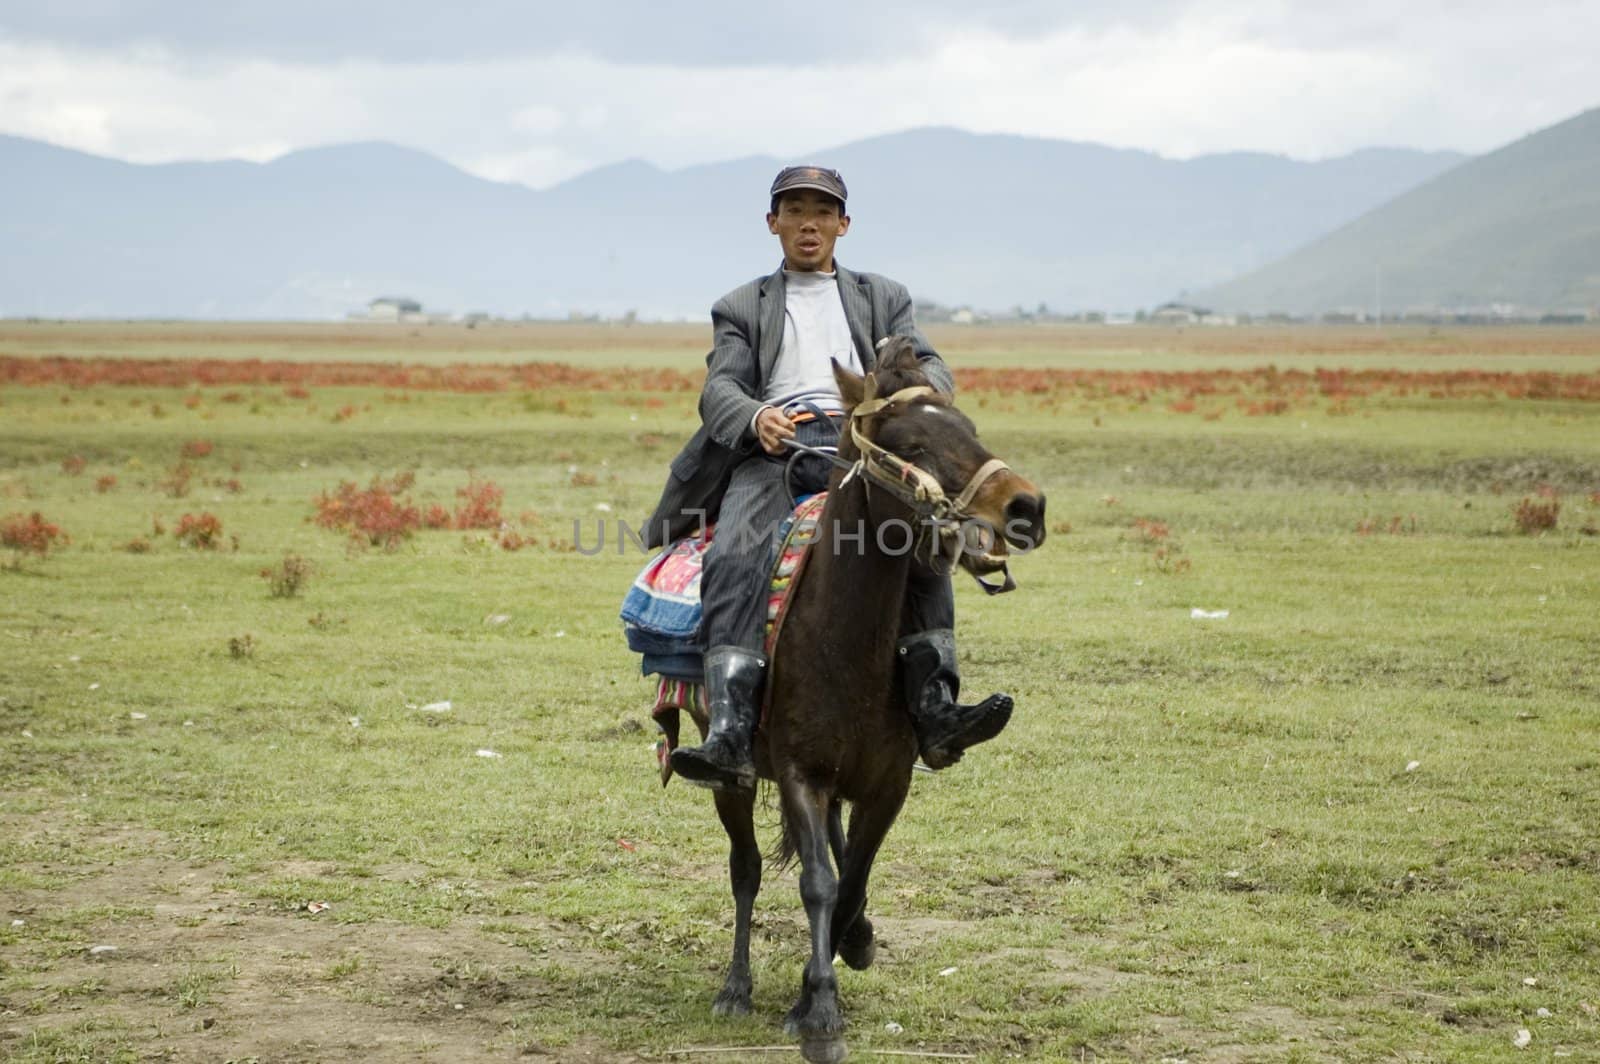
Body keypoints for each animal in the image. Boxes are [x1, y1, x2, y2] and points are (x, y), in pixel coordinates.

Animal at [678, 342, 1043, 1062]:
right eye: (912, 444)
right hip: (731, 777)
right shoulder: (800, 774)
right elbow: (817, 882)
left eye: (968, 426)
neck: (844, 640)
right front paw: (819, 1014)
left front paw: (846, 955)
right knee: (746, 867)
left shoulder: (889, 783)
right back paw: (735, 988)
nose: (1026, 507)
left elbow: (853, 879)